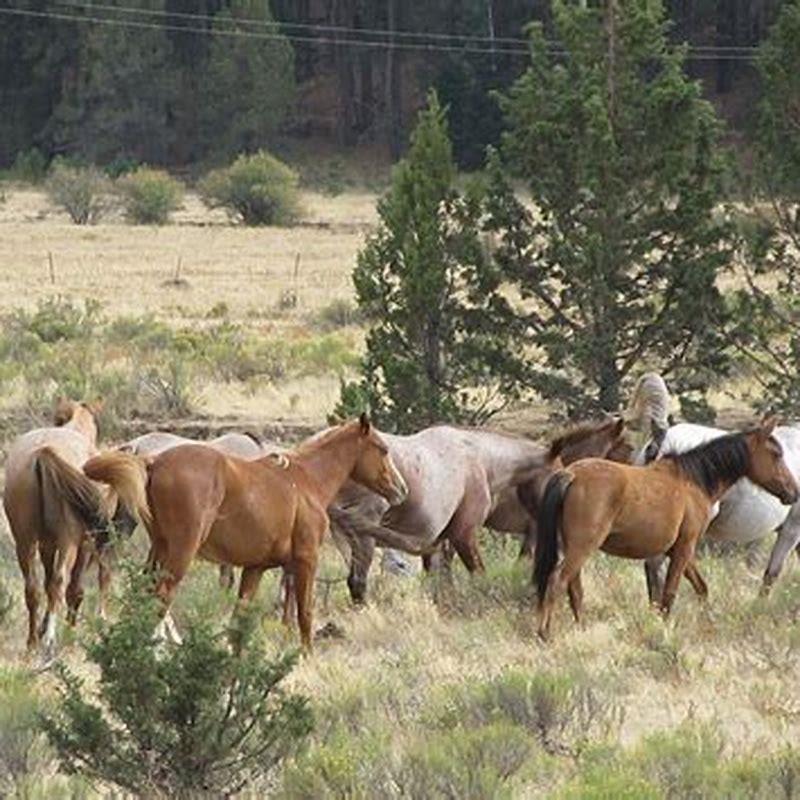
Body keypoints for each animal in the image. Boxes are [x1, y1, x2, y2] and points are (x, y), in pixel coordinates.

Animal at [3, 400, 115, 653]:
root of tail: (43, 453)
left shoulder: (46, 545)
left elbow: (45, 584)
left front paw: (44, 627)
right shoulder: (84, 543)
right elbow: (75, 589)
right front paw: (69, 633)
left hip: (25, 541)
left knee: (33, 589)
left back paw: (33, 641)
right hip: (68, 542)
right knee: (60, 582)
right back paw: (52, 638)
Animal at [83, 415, 408, 649]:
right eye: (383, 449)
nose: (401, 490)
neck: (305, 481)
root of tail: (152, 461)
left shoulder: (255, 569)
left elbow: (239, 622)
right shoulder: (306, 560)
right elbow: (305, 614)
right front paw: (306, 657)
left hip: (159, 550)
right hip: (180, 553)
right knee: (160, 601)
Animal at [330, 419, 632, 603]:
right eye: (624, 449)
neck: (482, 460)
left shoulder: (441, 541)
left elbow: (441, 583)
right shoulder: (464, 535)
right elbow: (482, 576)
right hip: (364, 538)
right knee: (358, 583)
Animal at [533, 419, 798, 640]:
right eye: (776, 454)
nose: (793, 492)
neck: (692, 480)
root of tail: (571, 473)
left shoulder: (679, 549)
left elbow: (700, 588)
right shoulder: (684, 548)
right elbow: (669, 594)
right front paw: (664, 631)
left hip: (575, 548)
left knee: (574, 589)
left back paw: (581, 629)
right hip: (582, 547)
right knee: (557, 581)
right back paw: (545, 633)